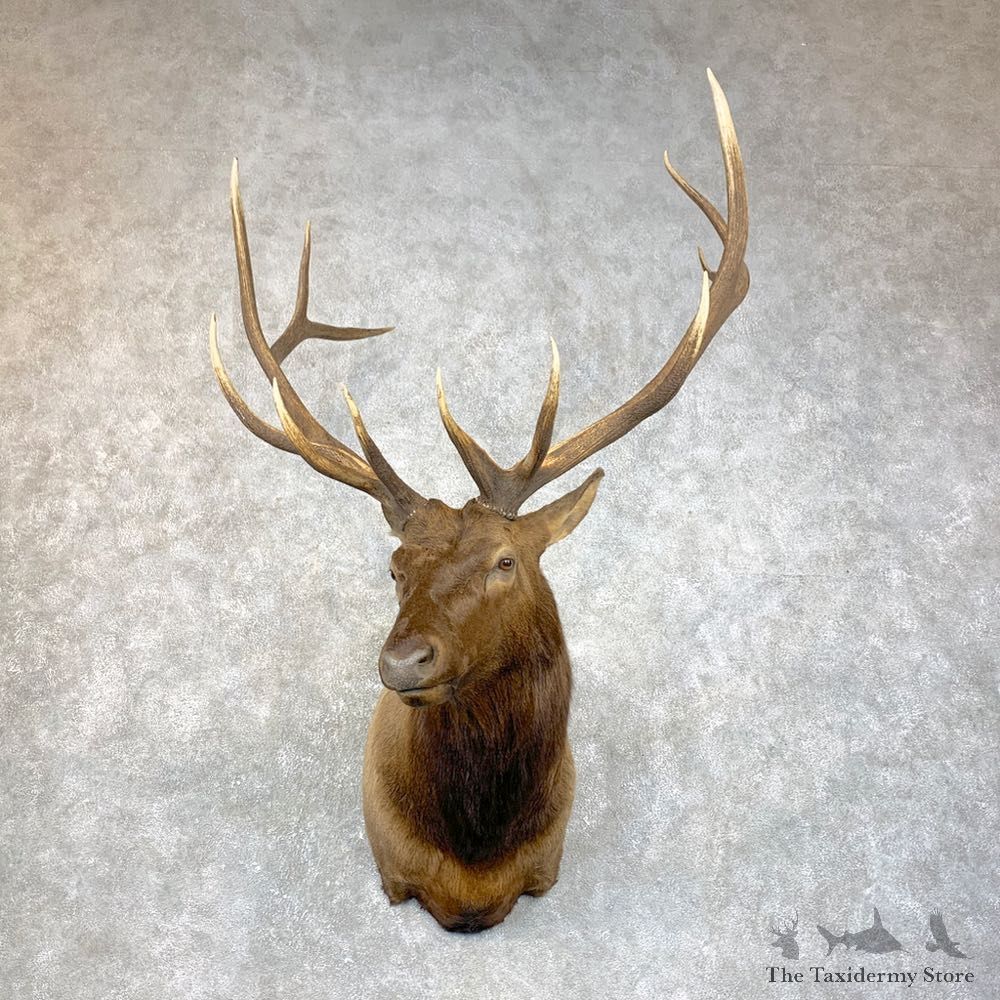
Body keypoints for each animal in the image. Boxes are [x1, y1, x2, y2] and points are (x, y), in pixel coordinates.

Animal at [209, 69, 749, 932]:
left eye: (504, 561)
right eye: (394, 567)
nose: (402, 661)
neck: (473, 864)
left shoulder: (546, 869)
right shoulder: (394, 875)